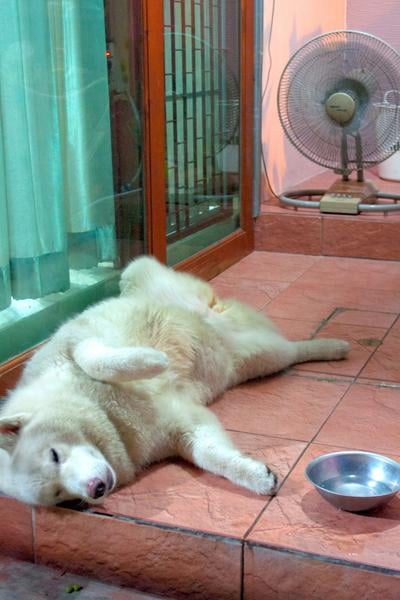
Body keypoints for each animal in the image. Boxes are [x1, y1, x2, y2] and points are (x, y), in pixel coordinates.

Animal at [0, 255, 346, 504]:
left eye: (54, 455)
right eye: (61, 496)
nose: (96, 489)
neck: (107, 414)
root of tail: (217, 310)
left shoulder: (78, 341)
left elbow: (96, 359)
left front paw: (153, 361)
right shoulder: (182, 430)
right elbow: (210, 456)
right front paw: (256, 476)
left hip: (136, 273)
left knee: (296, 348)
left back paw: (334, 347)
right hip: (255, 357)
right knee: (286, 349)